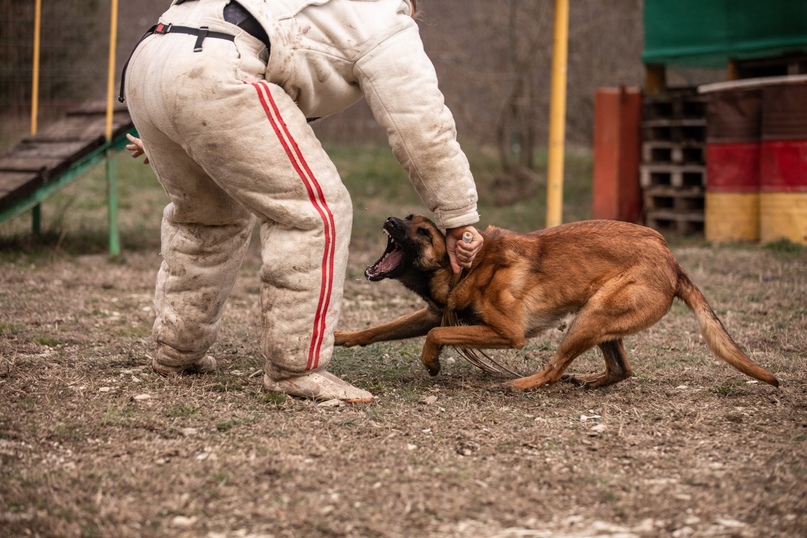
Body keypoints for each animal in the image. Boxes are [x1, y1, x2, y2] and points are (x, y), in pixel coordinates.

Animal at [332, 214, 780, 390]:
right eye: (406, 220)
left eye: (423, 233)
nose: (390, 221)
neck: (465, 269)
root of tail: (671, 257)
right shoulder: (432, 314)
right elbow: (377, 331)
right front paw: (339, 337)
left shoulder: (507, 333)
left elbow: (438, 335)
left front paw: (430, 362)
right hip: (599, 319)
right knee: (621, 369)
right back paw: (591, 380)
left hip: (590, 317)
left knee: (553, 368)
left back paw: (520, 383)